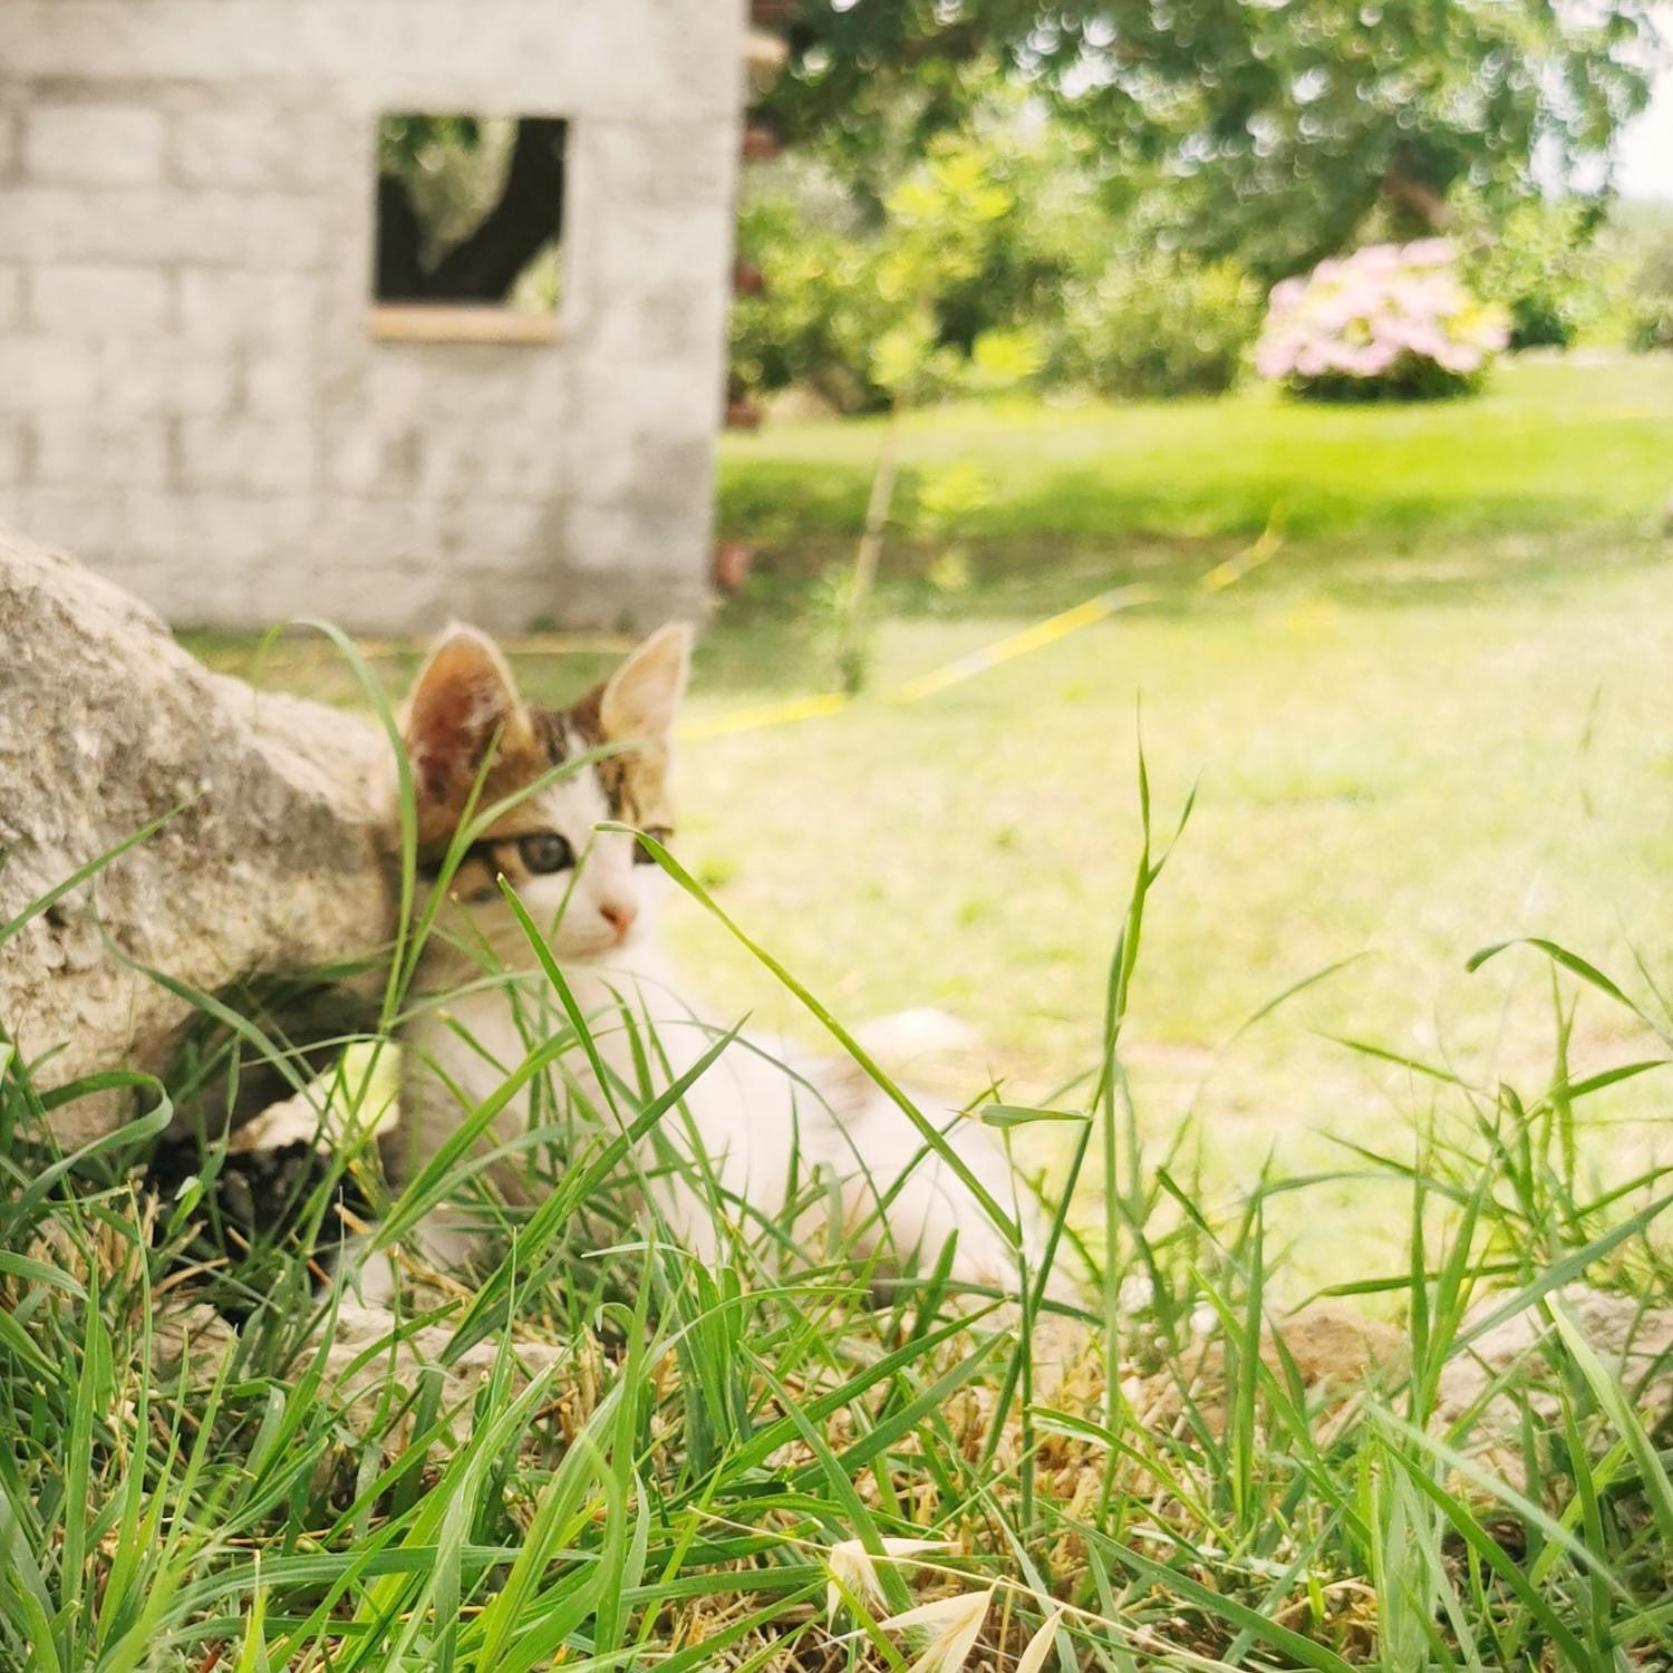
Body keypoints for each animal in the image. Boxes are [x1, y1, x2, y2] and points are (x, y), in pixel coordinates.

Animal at [381, 629, 1057, 1304]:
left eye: (646, 847)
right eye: (545, 851)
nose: (625, 912)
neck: (537, 990)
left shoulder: (687, 1116)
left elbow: (693, 1226)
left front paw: (694, 1305)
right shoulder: (439, 1144)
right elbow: (409, 1234)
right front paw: (371, 1293)